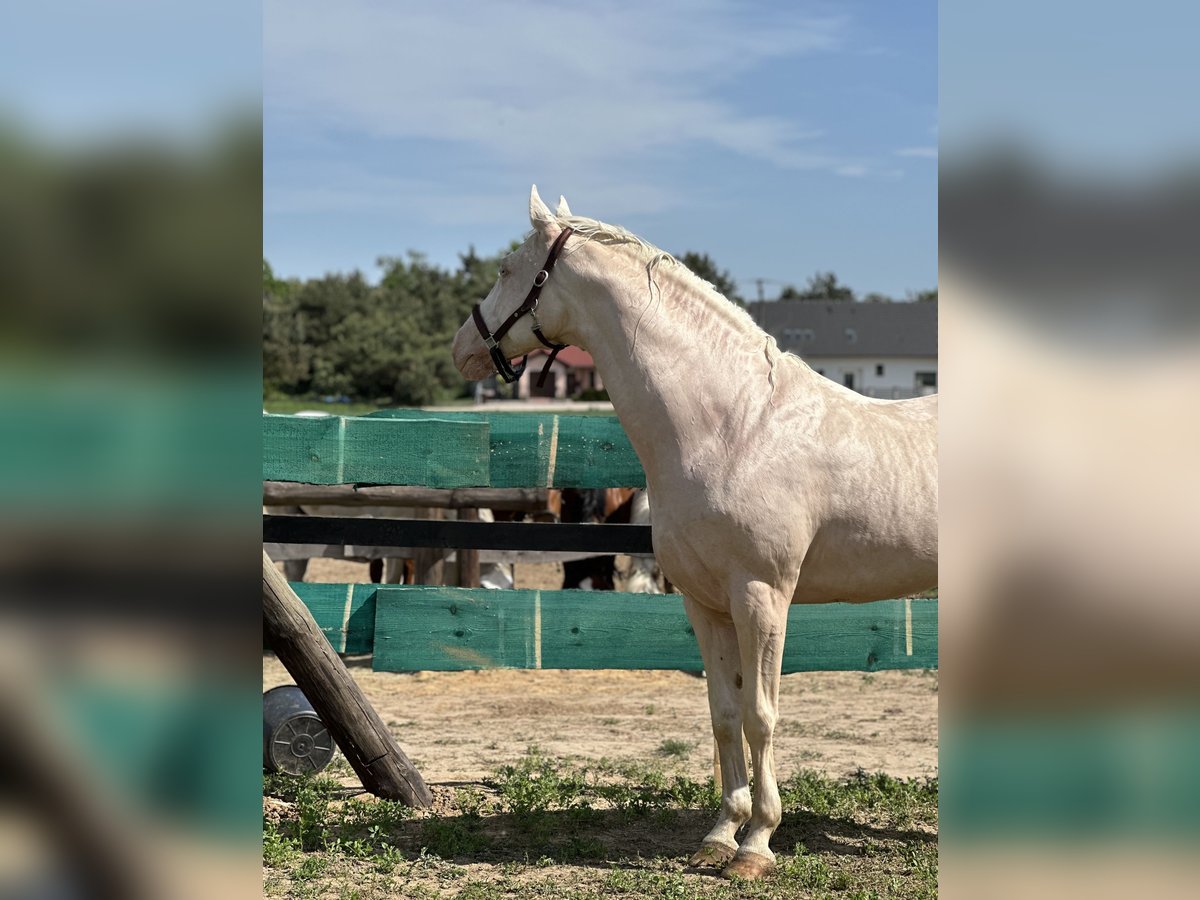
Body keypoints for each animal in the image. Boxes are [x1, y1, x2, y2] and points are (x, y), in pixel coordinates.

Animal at [451, 187, 936, 883]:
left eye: (506, 269)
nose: (462, 348)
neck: (736, 428)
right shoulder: (705, 604)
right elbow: (724, 715)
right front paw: (720, 835)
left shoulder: (762, 598)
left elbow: (761, 715)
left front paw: (758, 844)